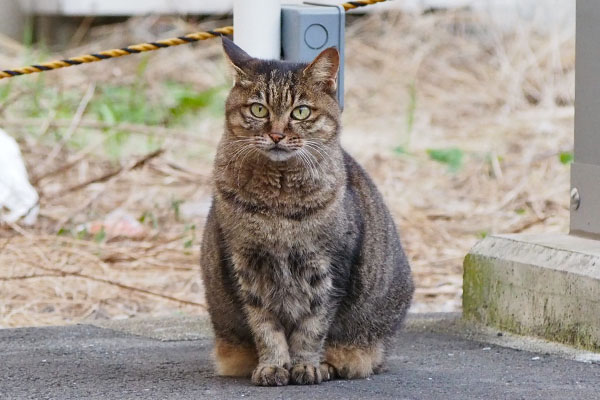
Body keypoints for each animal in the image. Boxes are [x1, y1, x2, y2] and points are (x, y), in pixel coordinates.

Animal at [199, 38, 414, 388]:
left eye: (300, 112)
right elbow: (266, 328)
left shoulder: (329, 269)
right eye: (258, 109)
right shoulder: (247, 268)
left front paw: (306, 366)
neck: (279, 205)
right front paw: (273, 366)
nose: (276, 135)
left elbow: (312, 328)